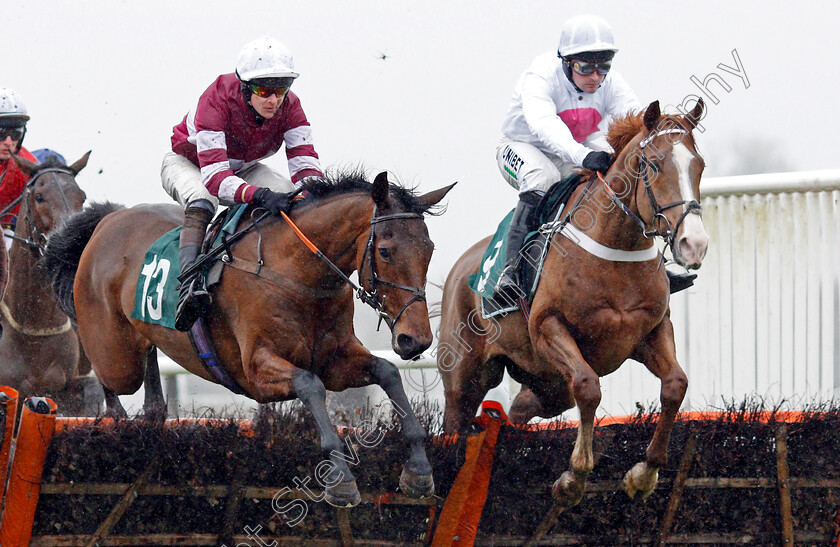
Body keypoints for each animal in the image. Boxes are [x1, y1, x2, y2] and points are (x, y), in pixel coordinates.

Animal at [43, 172, 456, 510]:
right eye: (385, 251)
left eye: (429, 250)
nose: (415, 340)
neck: (296, 271)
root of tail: (107, 219)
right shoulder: (256, 371)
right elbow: (310, 384)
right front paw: (340, 480)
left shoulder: (335, 361)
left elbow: (388, 373)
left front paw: (419, 471)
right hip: (112, 350)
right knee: (106, 370)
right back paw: (114, 418)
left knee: (147, 367)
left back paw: (153, 413)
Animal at [440, 100, 708, 512]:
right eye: (652, 165)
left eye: (700, 165)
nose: (695, 244)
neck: (616, 249)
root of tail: (458, 270)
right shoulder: (548, 327)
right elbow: (588, 386)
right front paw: (574, 476)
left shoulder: (651, 330)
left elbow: (676, 385)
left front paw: (643, 474)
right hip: (464, 377)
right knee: (455, 425)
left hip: (545, 382)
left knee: (525, 406)